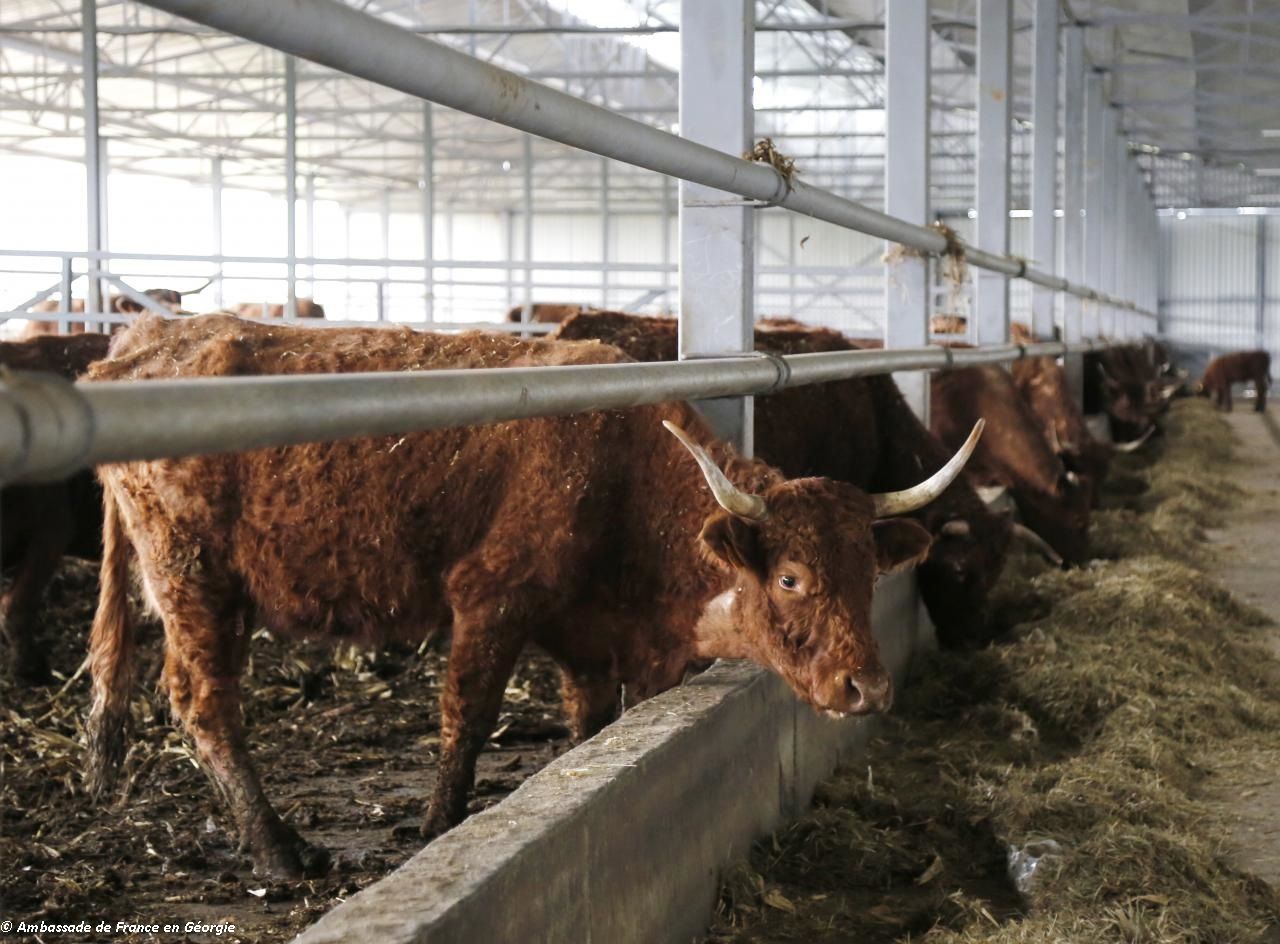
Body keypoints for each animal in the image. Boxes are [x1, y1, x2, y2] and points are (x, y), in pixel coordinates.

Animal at [85, 310, 977, 874]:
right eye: (791, 577)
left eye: (868, 574)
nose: (867, 687)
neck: (624, 468)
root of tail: (142, 343)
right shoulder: (491, 597)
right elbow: (466, 719)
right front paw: (438, 827)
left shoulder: (591, 641)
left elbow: (589, 728)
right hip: (196, 580)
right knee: (203, 703)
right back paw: (278, 849)